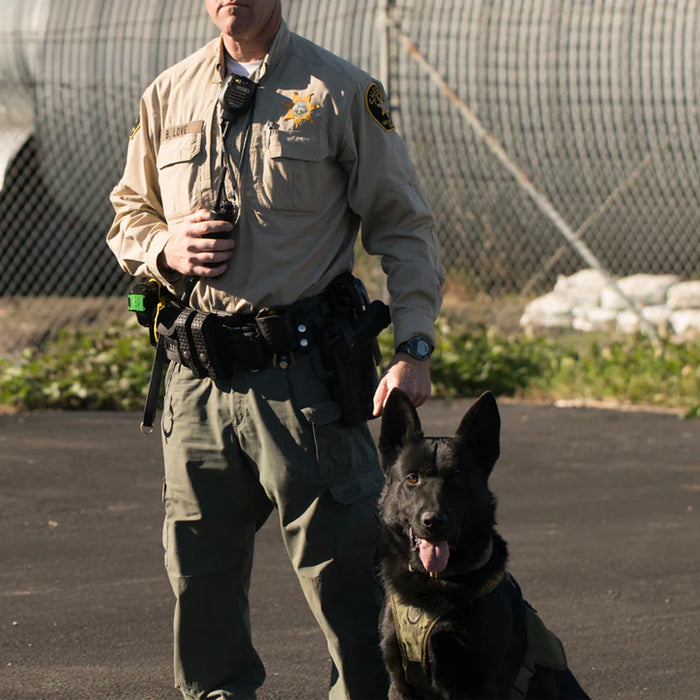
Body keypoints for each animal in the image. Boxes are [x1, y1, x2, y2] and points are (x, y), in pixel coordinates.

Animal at [374, 392, 588, 696]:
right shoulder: (399, 683)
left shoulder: (478, 683)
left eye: (457, 479)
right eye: (412, 478)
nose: (433, 521)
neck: (434, 581)